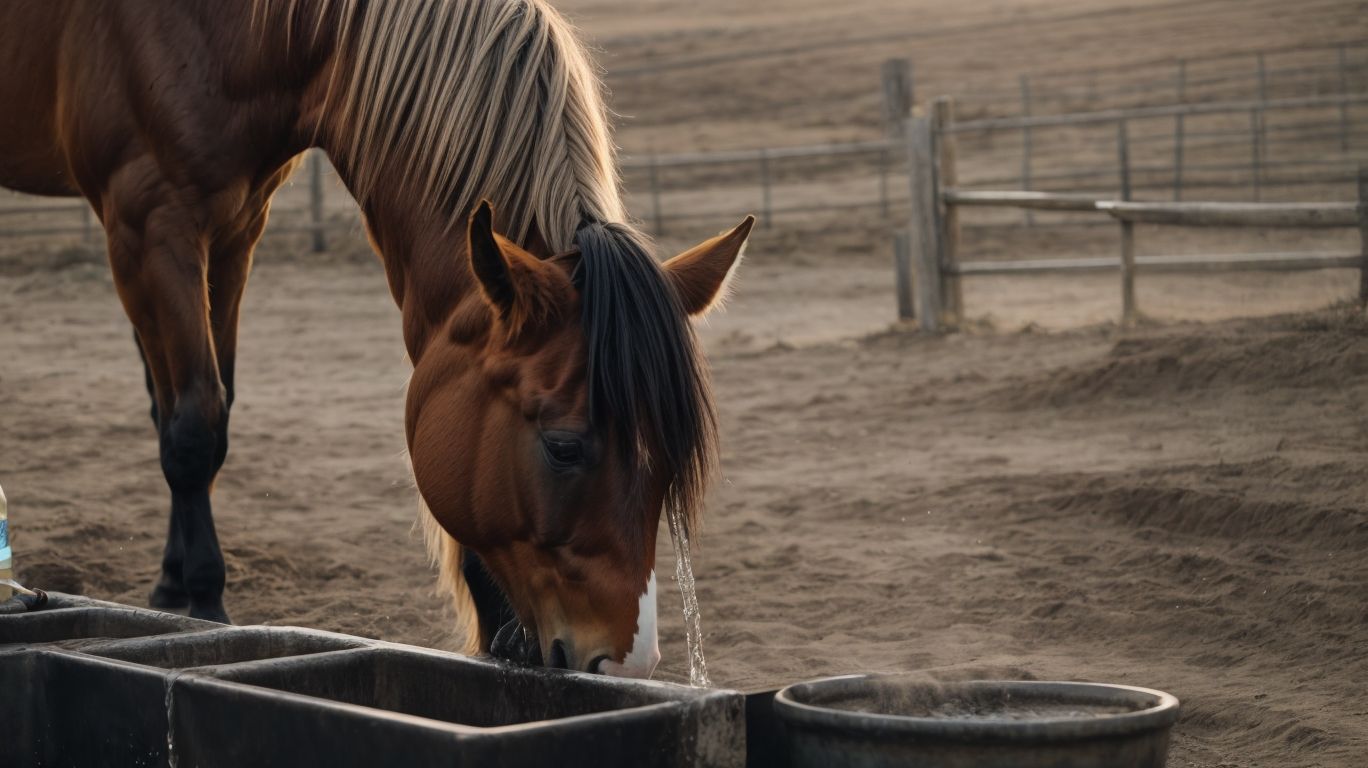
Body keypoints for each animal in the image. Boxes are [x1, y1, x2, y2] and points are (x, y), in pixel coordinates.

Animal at [0, 0, 751, 678]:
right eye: (563, 447)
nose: (625, 662)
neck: (245, 29)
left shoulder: (237, 224)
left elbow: (204, 405)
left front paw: (176, 582)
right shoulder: (149, 223)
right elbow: (190, 427)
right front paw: (202, 601)